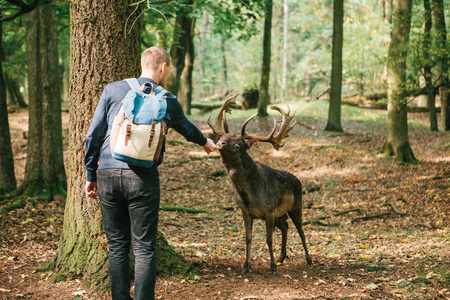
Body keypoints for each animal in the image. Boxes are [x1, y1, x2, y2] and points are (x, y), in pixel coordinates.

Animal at [208, 92, 312, 276]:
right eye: (222, 137)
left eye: (239, 143)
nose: (220, 143)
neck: (249, 194)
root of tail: (298, 180)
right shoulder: (246, 212)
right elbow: (248, 238)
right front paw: (245, 266)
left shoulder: (269, 210)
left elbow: (269, 239)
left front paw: (272, 268)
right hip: (280, 214)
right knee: (285, 226)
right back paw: (281, 257)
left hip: (296, 205)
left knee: (301, 230)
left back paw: (309, 260)